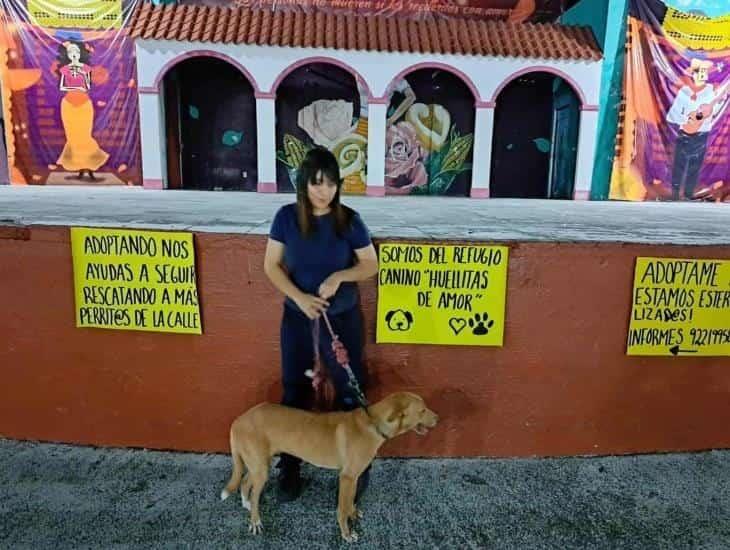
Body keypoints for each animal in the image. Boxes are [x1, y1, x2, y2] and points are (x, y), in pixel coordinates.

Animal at [220, 392, 438, 544]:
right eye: (422, 410)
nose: (438, 418)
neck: (373, 423)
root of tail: (239, 419)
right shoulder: (347, 477)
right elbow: (342, 508)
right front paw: (347, 534)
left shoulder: (354, 477)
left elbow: (350, 502)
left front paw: (353, 514)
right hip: (261, 467)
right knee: (254, 491)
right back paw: (255, 520)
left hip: (259, 464)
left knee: (246, 482)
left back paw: (247, 503)